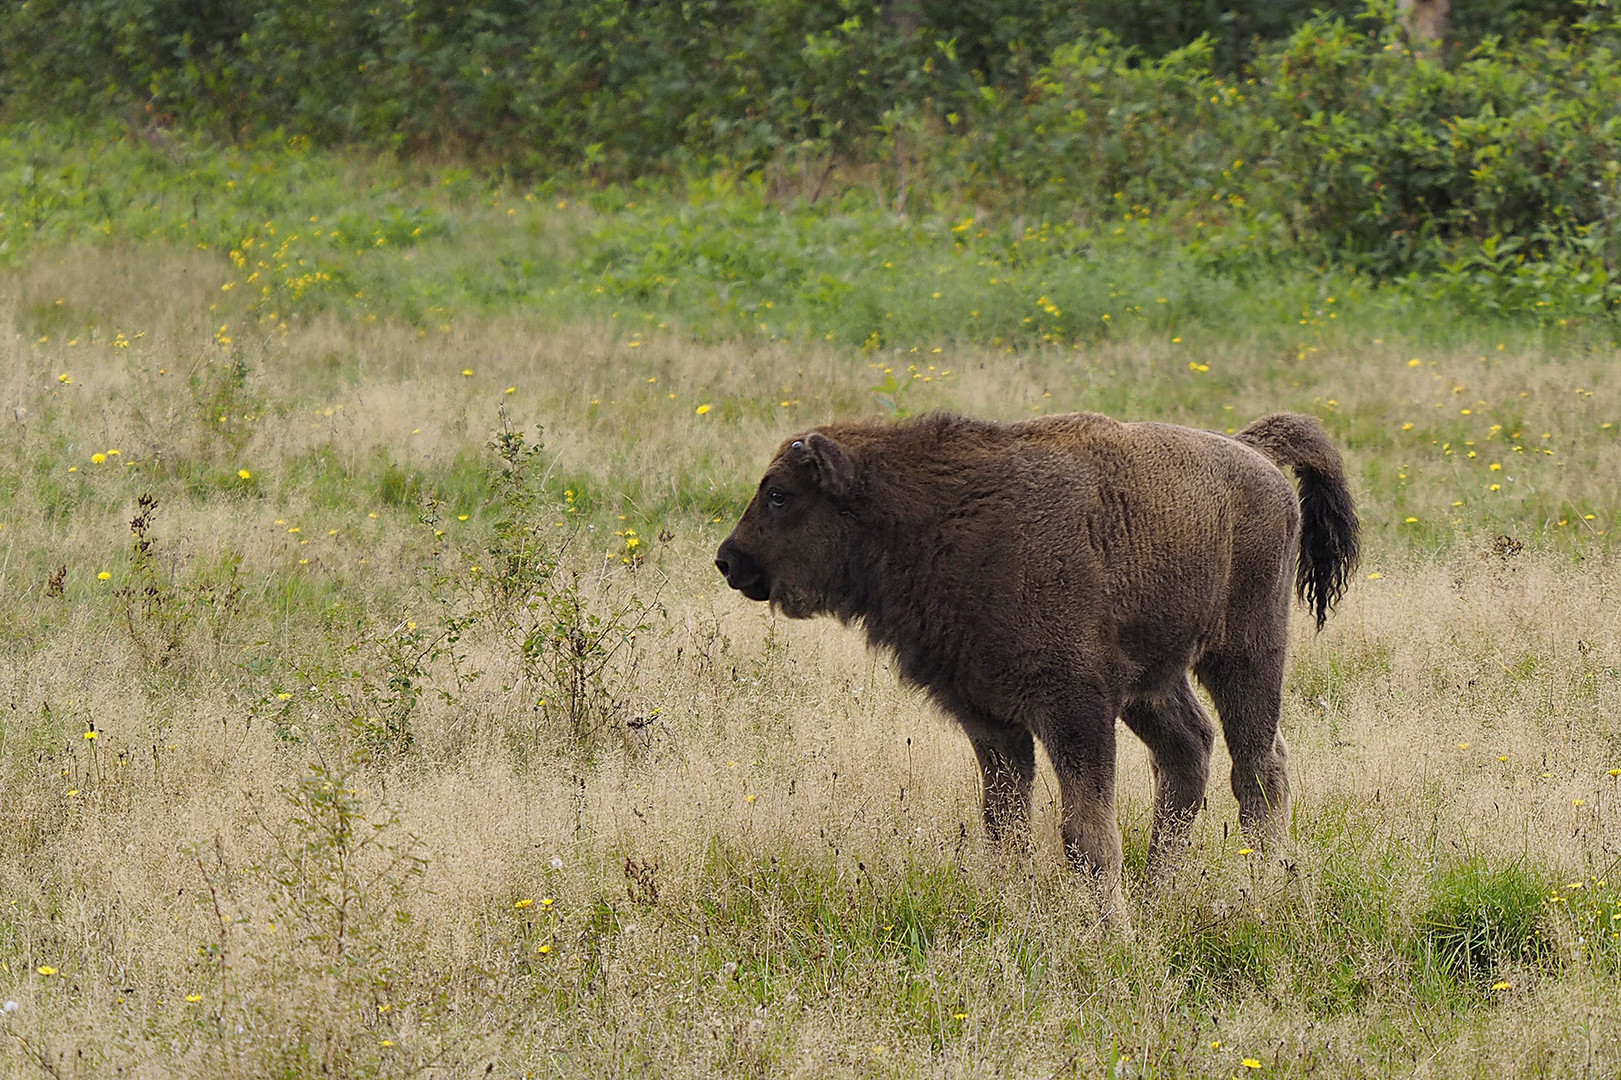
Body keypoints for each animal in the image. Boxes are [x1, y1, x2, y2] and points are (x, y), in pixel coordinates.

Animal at [716, 408, 1361, 921]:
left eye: (779, 494)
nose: (728, 560)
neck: (927, 513)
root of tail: (1254, 452)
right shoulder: (991, 720)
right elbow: (1004, 825)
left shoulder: (1075, 710)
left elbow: (1086, 835)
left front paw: (1110, 932)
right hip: (1154, 682)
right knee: (1190, 750)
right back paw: (1156, 893)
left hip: (1246, 653)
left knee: (1257, 769)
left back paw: (1260, 887)